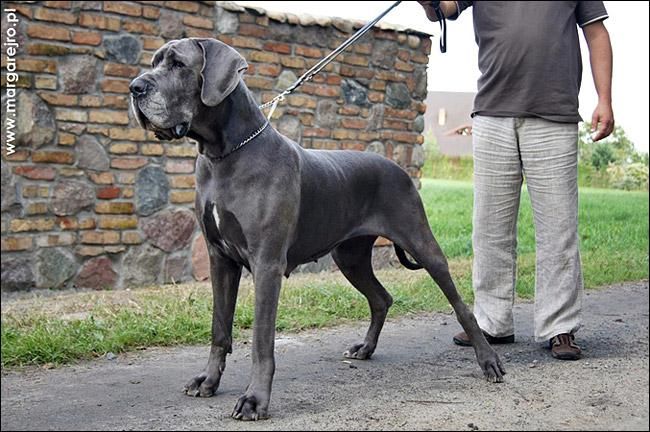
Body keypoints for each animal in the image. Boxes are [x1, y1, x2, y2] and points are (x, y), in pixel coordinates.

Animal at [130, 38, 505, 421]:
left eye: (178, 64)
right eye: (155, 62)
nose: (135, 87)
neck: (226, 154)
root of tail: (398, 168)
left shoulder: (267, 264)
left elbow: (261, 341)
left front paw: (255, 399)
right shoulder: (220, 259)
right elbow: (219, 328)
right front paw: (208, 380)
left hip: (421, 243)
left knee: (460, 305)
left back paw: (489, 360)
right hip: (350, 257)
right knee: (381, 298)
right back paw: (365, 348)